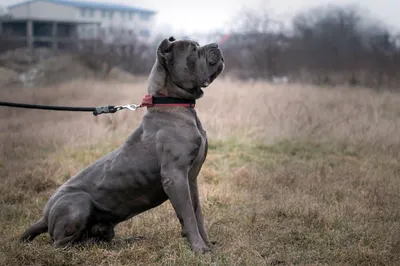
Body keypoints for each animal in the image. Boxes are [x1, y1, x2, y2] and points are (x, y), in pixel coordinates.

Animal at [18, 35, 225, 254]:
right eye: (193, 49)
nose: (216, 45)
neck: (173, 103)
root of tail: (44, 216)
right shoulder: (175, 176)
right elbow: (188, 216)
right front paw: (200, 249)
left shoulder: (191, 179)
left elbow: (197, 213)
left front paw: (207, 243)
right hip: (78, 202)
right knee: (61, 244)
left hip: (104, 225)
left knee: (99, 238)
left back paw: (126, 241)